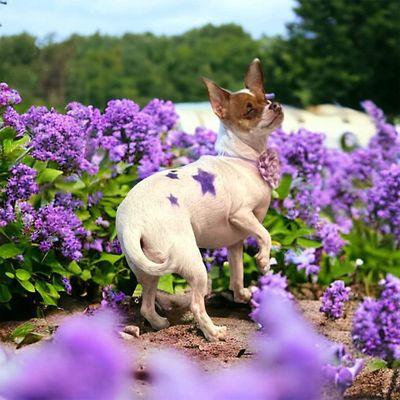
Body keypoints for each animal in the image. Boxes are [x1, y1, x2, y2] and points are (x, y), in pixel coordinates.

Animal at [116, 58, 284, 340]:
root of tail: (131, 222)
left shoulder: (235, 243)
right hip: (193, 264)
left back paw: (160, 323)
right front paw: (262, 259)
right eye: (250, 110)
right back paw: (213, 332)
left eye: (266, 98)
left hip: (146, 270)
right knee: (196, 304)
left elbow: (236, 274)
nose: (276, 105)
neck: (243, 159)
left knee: (147, 305)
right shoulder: (242, 214)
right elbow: (265, 234)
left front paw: (242, 294)